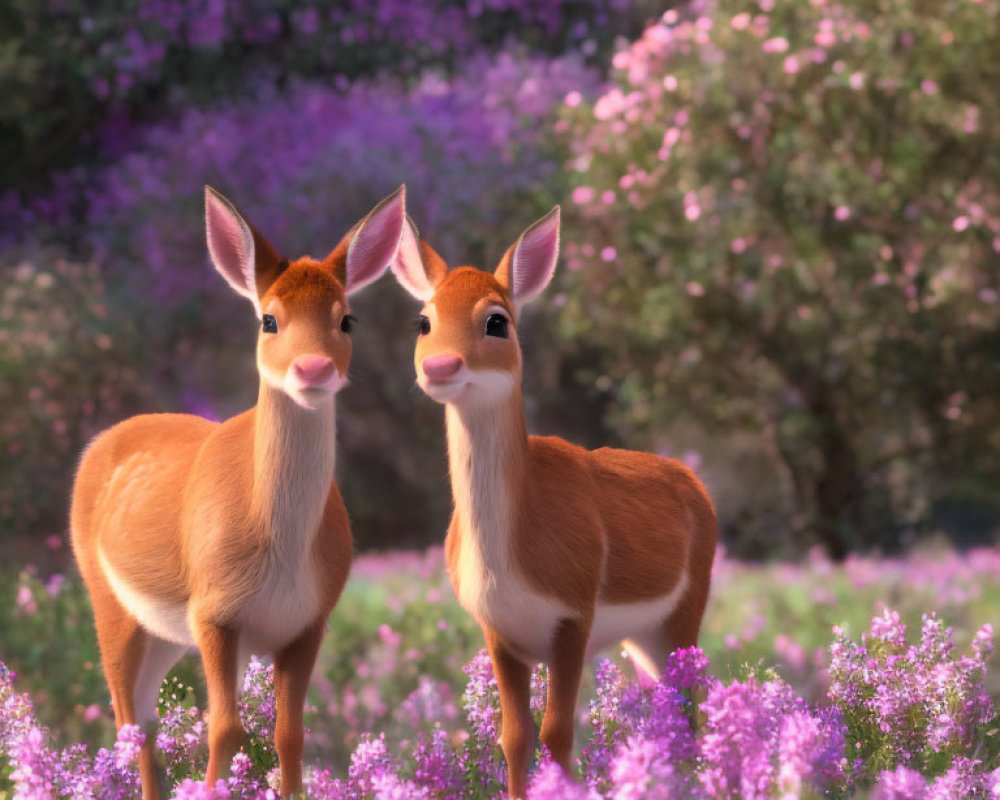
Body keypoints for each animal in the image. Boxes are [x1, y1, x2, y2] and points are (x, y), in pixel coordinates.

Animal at [68, 184, 408, 796]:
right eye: (269, 319)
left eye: (346, 319)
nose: (313, 368)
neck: (280, 548)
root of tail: (102, 438)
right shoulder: (214, 613)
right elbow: (224, 728)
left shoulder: (308, 620)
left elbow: (289, 734)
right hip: (108, 597)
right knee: (128, 720)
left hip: (165, 635)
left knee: (146, 720)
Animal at [390, 208, 720, 800]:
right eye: (423, 321)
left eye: (497, 320)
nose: (441, 366)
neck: (513, 552)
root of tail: (693, 481)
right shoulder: (500, 632)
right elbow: (515, 736)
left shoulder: (573, 618)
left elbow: (558, 733)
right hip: (643, 638)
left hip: (684, 613)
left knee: (691, 709)